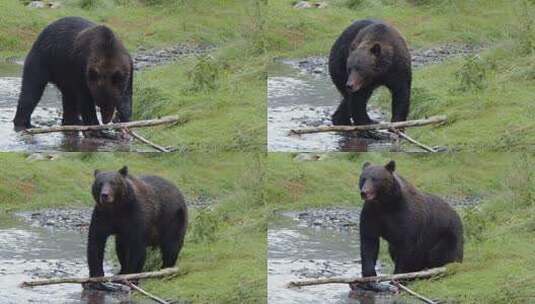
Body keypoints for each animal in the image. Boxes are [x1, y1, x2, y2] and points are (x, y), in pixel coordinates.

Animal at [354, 159, 462, 290]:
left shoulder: (406, 217)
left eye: (375, 179)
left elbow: (406, 246)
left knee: (442, 254)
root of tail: (457, 216)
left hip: (446, 234)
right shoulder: (372, 214)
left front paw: (398, 277)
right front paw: (369, 279)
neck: (386, 203)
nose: (364, 192)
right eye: (363, 178)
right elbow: (369, 242)